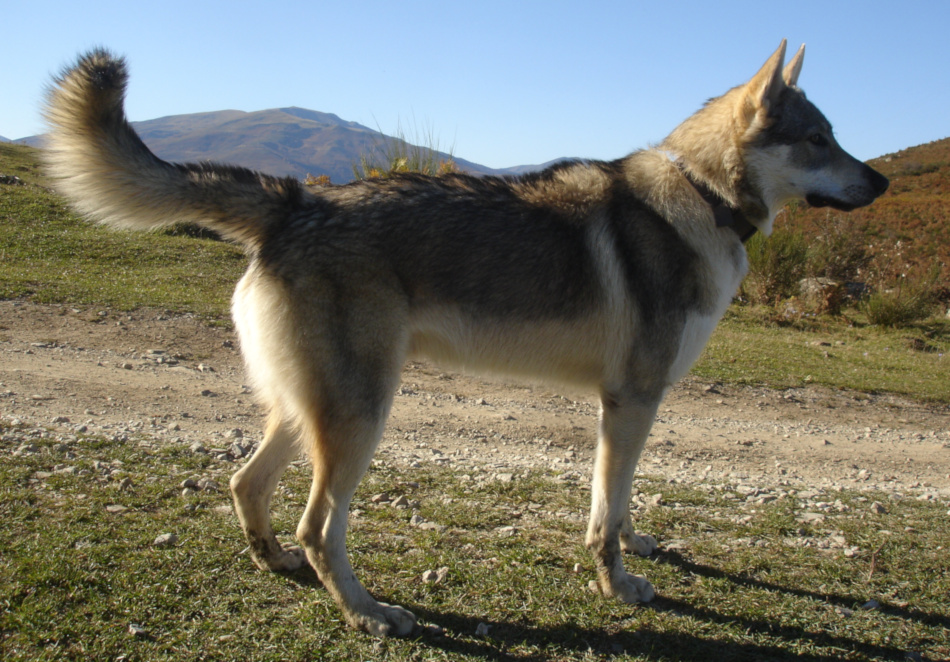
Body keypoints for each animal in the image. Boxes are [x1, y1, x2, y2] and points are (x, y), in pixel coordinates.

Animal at [42, 40, 888, 636]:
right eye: (820, 139)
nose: (881, 183)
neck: (703, 199)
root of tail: (295, 201)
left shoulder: (626, 406)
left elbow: (612, 504)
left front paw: (636, 545)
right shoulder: (633, 400)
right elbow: (605, 518)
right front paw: (619, 585)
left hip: (309, 410)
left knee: (246, 485)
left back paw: (276, 561)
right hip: (360, 418)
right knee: (318, 527)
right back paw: (368, 614)